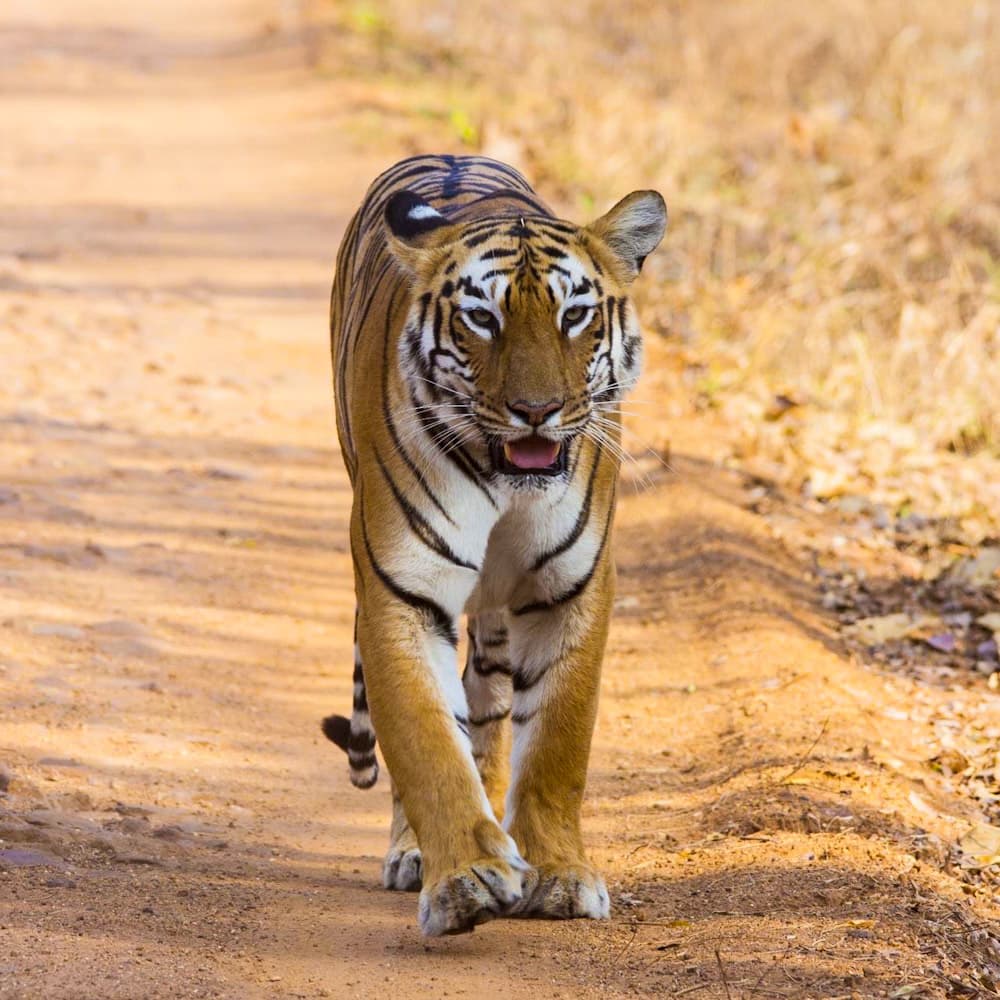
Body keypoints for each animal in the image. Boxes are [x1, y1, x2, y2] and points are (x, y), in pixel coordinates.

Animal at [322, 153, 666, 937]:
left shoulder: (570, 590)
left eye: (574, 316)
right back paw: (416, 854)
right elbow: (425, 741)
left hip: (498, 622)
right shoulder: (402, 591)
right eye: (483, 317)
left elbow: (557, 745)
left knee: (486, 710)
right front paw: (465, 879)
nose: (536, 411)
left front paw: (560, 874)